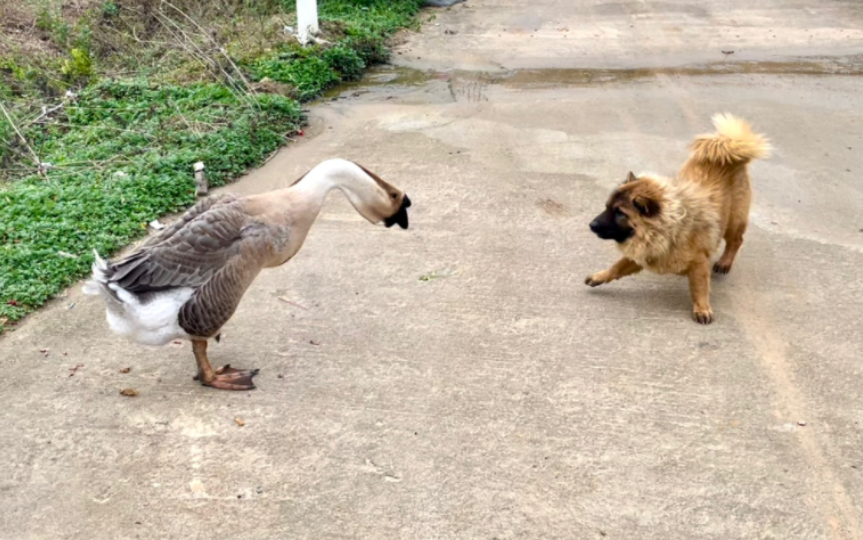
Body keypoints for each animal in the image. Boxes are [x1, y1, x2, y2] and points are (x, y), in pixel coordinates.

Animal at [584, 113, 772, 324]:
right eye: (607, 207)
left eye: (619, 213)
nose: (591, 224)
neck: (667, 229)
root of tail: (731, 153)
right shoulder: (644, 252)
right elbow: (617, 266)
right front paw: (600, 276)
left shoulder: (699, 261)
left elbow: (700, 288)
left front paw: (702, 308)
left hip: (734, 221)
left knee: (736, 241)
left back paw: (725, 262)